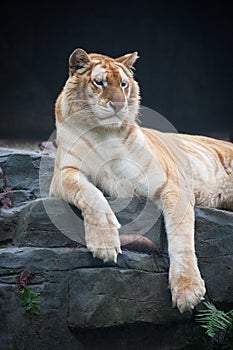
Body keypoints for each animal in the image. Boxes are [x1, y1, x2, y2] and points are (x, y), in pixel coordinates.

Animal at [49, 47, 233, 314]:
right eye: (99, 82)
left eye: (123, 84)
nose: (118, 105)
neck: (105, 133)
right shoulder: (64, 172)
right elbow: (90, 193)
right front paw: (105, 243)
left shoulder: (172, 184)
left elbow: (181, 236)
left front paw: (187, 290)